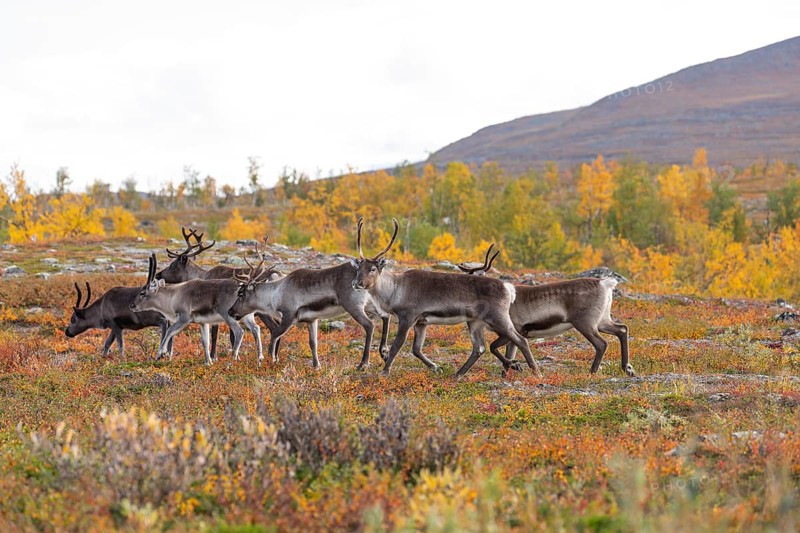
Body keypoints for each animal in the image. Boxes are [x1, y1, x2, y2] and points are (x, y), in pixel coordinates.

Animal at [129, 253, 264, 366]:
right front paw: (208, 362)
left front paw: (160, 354)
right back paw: (260, 358)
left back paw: (233, 359)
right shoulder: (203, 323)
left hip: (228, 315)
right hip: (246, 315)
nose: (131, 305)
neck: (173, 295)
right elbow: (205, 341)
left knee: (239, 331)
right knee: (256, 328)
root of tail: (243, 287)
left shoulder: (184, 318)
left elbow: (169, 331)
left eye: (142, 292)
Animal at [227, 246, 392, 370]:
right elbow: (313, 343)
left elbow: (274, 335)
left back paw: (363, 364)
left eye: (241, 293)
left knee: (370, 325)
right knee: (386, 315)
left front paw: (271, 360)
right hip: (370, 304)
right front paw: (316, 366)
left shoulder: (288, 316)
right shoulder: (312, 320)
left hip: (353, 306)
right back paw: (384, 352)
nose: (230, 311)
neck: (275, 294)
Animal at [350, 218, 540, 376]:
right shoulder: (421, 322)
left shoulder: (408, 317)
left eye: (372, 269)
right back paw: (458, 374)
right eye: (358, 268)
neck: (394, 291)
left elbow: (397, 345)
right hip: (475, 322)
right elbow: (416, 349)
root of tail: (508, 288)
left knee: (520, 339)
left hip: (497, 317)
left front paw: (384, 371)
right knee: (479, 347)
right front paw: (436, 367)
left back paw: (535, 371)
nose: (356, 283)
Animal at [449, 245, 634, 378]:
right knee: (622, 329)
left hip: (585, 323)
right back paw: (627, 368)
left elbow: (494, 347)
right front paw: (509, 371)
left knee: (602, 343)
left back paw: (592, 372)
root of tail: (605, 283)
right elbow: (507, 351)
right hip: (602, 320)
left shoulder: (516, 329)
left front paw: (514, 367)